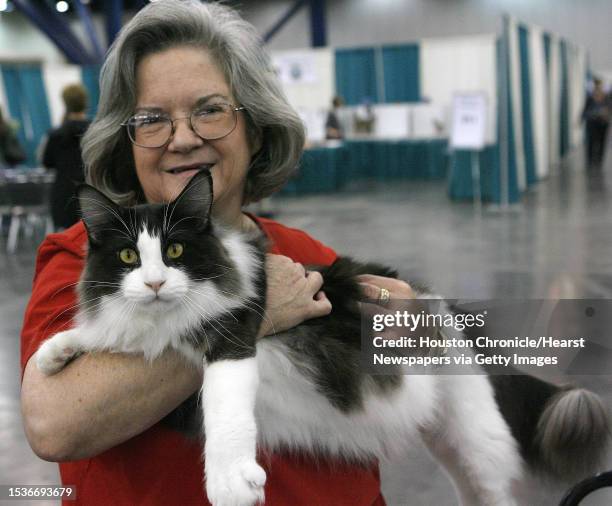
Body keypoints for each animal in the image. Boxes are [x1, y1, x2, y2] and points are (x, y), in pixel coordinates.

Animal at [37, 171, 608, 506]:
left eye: (175, 251)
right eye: (128, 257)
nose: (155, 284)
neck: (166, 322)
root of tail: (444, 307)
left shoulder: (235, 335)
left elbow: (224, 409)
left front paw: (229, 481)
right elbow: (105, 334)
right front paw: (55, 352)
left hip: (473, 440)